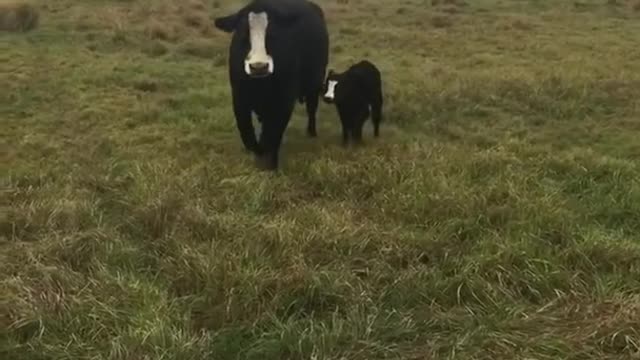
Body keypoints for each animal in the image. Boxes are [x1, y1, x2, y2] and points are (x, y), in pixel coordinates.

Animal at [214, 0, 328, 171]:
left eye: (273, 34)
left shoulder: (283, 101)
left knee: (311, 108)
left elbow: (272, 134)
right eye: (243, 34)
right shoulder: (239, 100)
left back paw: (311, 132)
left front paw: (270, 165)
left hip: (314, 83)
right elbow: (248, 135)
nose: (259, 66)